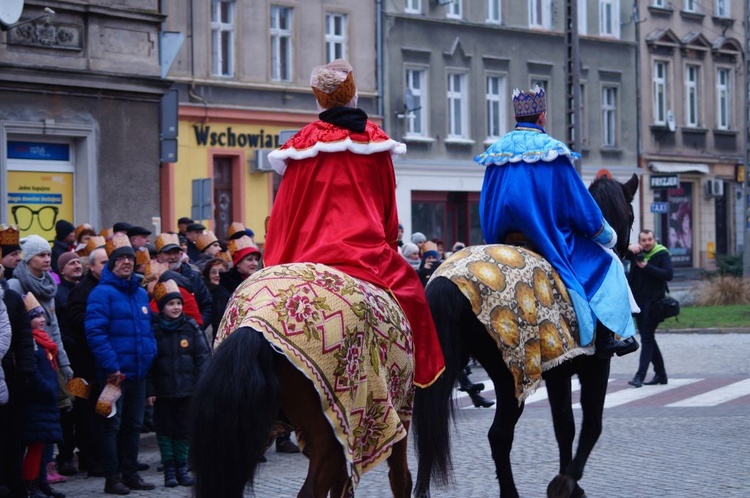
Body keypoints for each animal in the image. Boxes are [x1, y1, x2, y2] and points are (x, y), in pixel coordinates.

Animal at [418, 173, 640, 496]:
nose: (627, 252)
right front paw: (567, 482)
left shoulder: (559, 369)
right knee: (499, 434)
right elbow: (589, 424)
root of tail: (444, 282)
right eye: (632, 216)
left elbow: (564, 427)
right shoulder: (594, 365)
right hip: (514, 373)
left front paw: (568, 482)